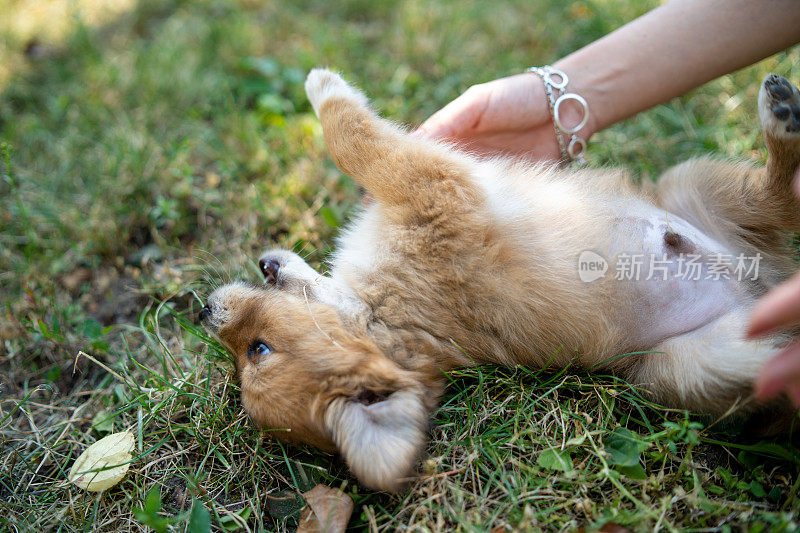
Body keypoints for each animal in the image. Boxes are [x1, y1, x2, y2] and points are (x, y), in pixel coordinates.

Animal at [198, 69, 800, 490]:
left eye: (256, 349)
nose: (202, 311)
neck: (373, 314)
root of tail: (758, 281)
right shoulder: (433, 186)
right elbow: (355, 139)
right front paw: (325, 86)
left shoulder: (424, 181)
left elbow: (353, 143)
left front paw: (320, 84)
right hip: (690, 367)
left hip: (690, 185)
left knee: (778, 196)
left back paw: (779, 112)